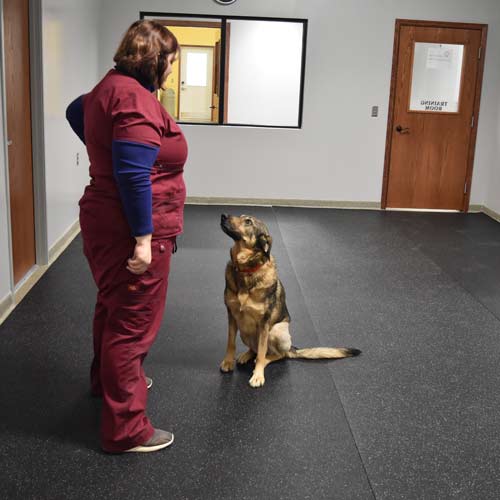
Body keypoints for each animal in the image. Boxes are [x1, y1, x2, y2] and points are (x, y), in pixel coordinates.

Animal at [219, 213, 360, 388]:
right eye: (241, 216)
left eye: (248, 221)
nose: (223, 215)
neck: (246, 271)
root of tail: (292, 348)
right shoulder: (232, 316)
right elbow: (230, 343)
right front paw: (228, 362)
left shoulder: (264, 323)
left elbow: (261, 352)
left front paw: (258, 375)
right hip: (245, 332)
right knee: (254, 349)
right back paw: (246, 355)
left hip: (275, 331)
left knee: (277, 354)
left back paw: (264, 361)